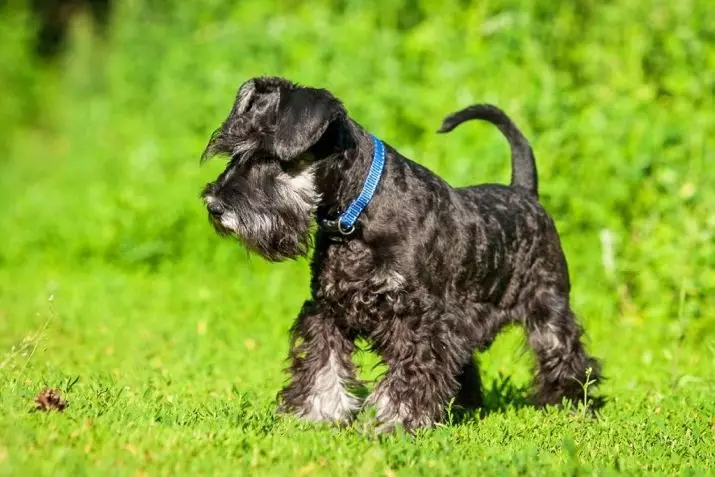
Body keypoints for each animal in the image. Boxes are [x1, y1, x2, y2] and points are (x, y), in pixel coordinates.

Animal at [199, 77, 600, 432]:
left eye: (268, 155)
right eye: (233, 152)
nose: (215, 206)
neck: (357, 214)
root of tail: (525, 191)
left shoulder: (418, 319)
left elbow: (409, 375)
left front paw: (399, 423)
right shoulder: (327, 309)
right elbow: (323, 364)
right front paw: (316, 417)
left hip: (548, 307)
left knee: (567, 355)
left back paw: (572, 404)